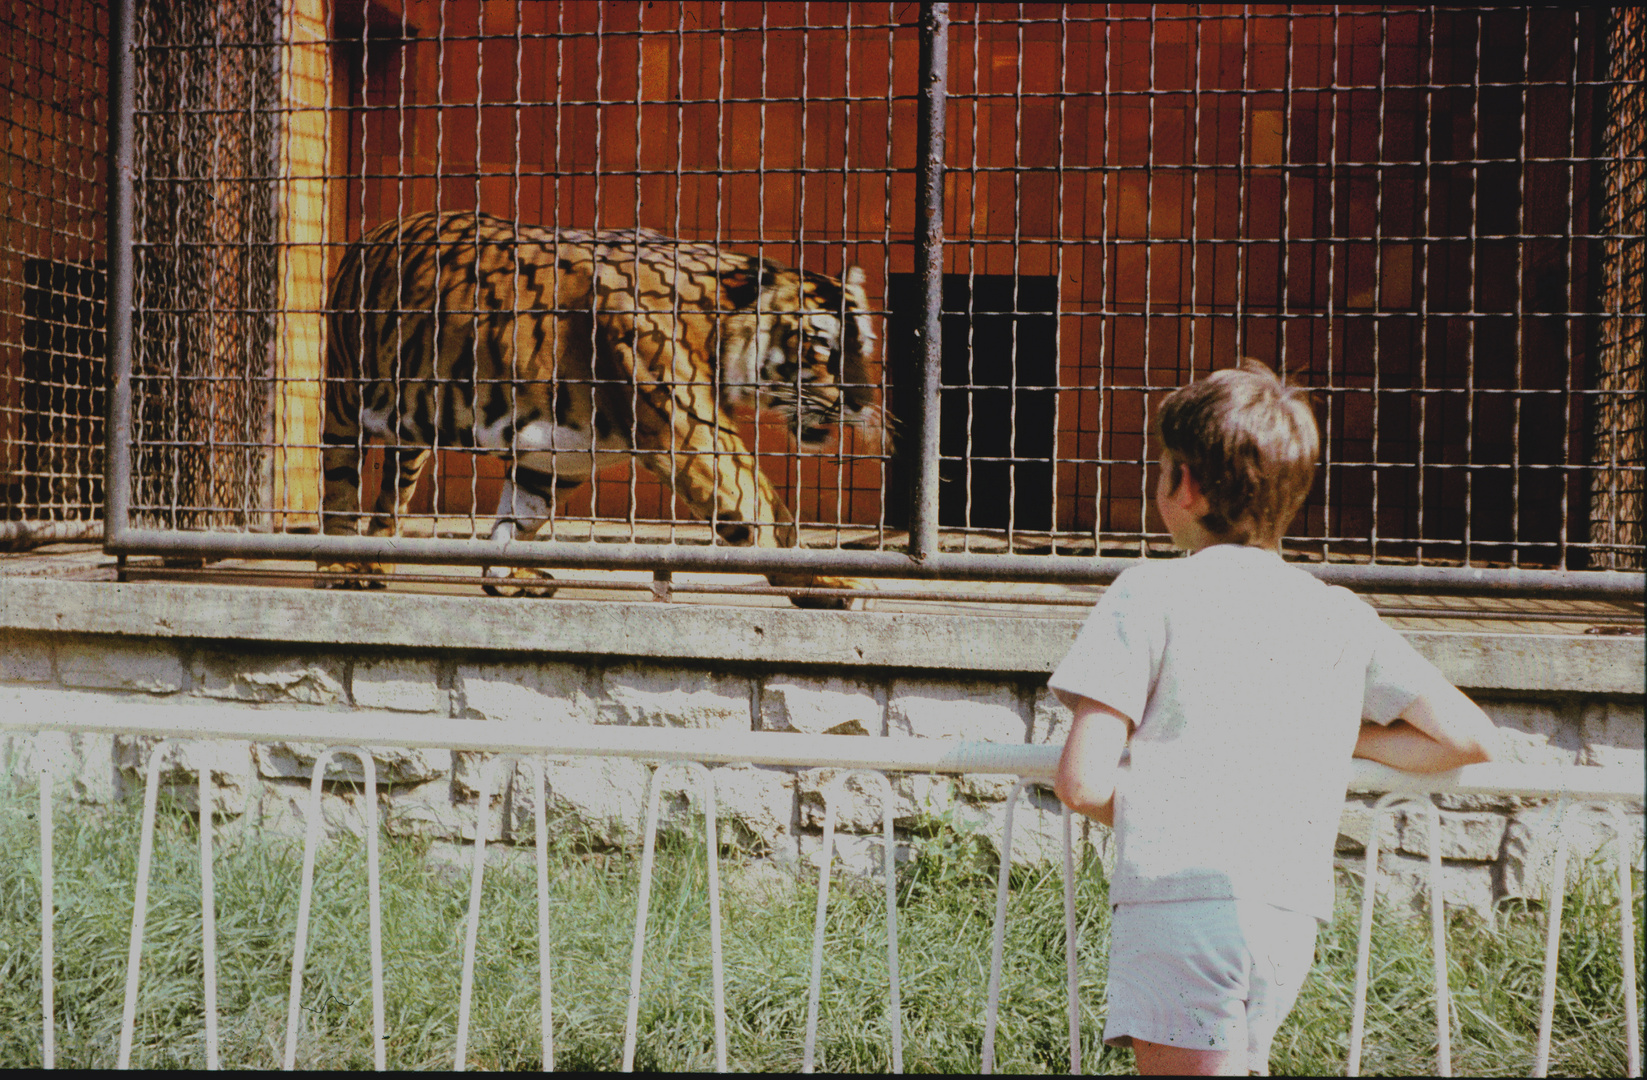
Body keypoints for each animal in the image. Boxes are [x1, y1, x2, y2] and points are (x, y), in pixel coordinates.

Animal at [322, 210, 889, 605]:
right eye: (821, 348)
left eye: (863, 347)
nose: (862, 401)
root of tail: (376, 231)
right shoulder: (694, 435)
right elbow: (769, 516)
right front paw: (832, 583)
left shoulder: (556, 458)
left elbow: (515, 523)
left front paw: (504, 577)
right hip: (346, 400)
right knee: (339, 486)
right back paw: (337, 569)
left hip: (412, 431)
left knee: (392, 495)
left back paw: (377, 567)